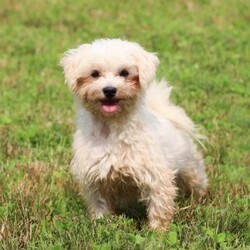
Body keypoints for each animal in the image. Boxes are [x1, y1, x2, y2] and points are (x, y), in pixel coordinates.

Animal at [61, 38, 209, 231]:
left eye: (124, 73)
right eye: (94, 74)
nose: (109, 90)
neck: (112, 130)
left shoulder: (156, 177)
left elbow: (159, 207)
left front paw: (157, 232)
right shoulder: (95, 179)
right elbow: (100, 205)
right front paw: (101, 226)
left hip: (189, 165)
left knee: (197, 178)